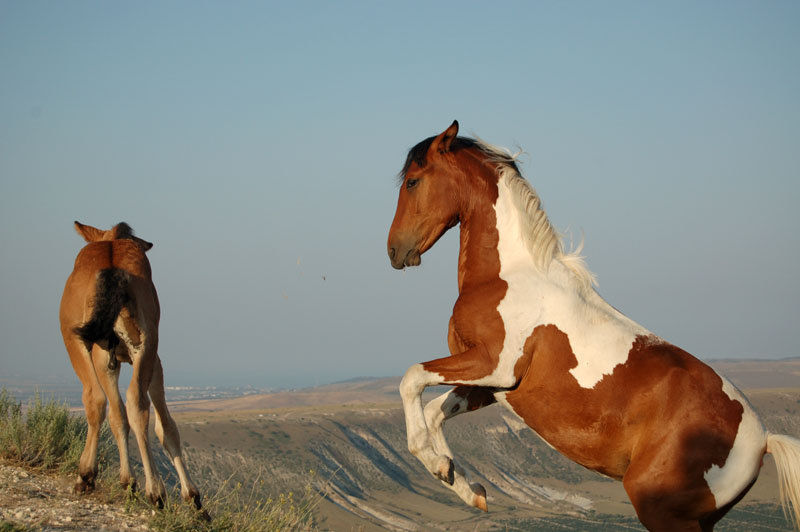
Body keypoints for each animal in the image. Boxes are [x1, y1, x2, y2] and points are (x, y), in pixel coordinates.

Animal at [59, 221, 202, 512]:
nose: (148, 243)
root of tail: (114, 269)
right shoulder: (137, 360)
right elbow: (155, 424)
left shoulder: (111, 359)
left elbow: (125, 417)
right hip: (139, 348)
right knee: (132, 404)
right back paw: (153, 490)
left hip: (77, 340)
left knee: (101, 399)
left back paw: (93, 476)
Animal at [386, 121, 800, 532]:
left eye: (413, 181)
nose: (394, 251)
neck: (508, 277)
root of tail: (763, 440)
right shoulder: (492, 386)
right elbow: (435, 410)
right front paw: (463, 485)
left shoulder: (495, 366)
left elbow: (411, 379)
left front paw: (437, 463)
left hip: (659, 508)